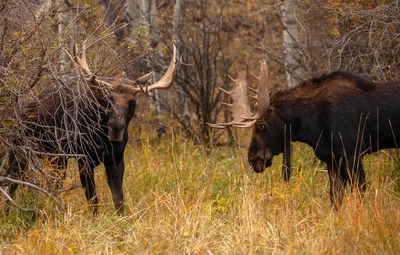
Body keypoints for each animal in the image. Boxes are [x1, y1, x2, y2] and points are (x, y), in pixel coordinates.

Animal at [7, 43, 177, 215]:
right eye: (109, 98)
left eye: (131, 101)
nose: (116, 127)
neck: (102, 137)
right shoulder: (84, 159)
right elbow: (93, 199)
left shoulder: (116, 159)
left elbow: (119, 200)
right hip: (23, 150)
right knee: (16, 183)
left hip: (52, 157)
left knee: (45, 185)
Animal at [208, 61, 400, 209]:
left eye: (261, 126)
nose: (253, 159)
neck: (312, 126)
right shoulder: (331, 158)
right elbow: (335, 199)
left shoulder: (352, 153)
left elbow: (359, 194)